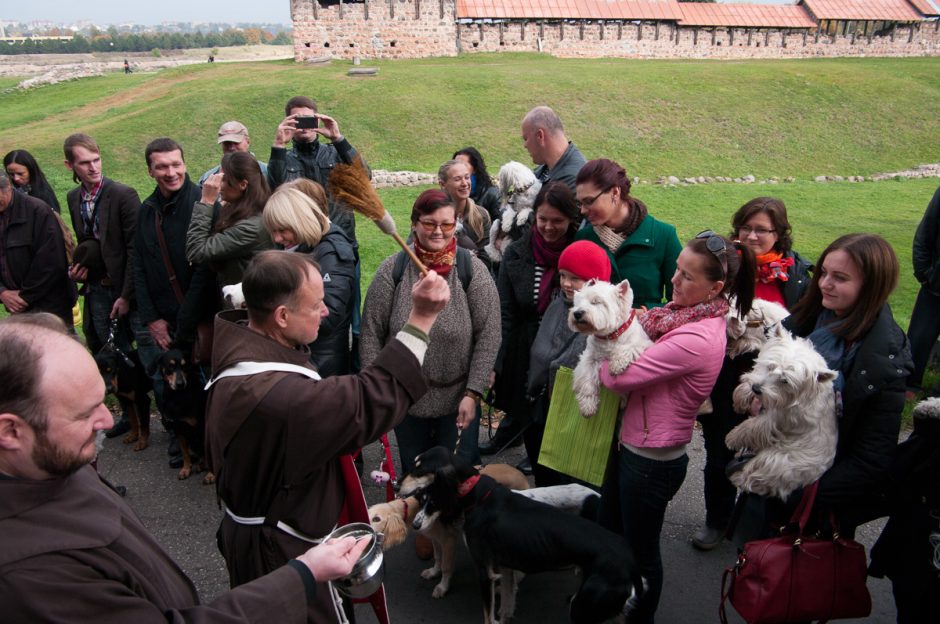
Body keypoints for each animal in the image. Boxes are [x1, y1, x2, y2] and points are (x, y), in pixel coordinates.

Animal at [151, 348, 214, 486]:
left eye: (185, 366)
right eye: (170, 366)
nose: (180, 384)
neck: (177, 397)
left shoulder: (202, 427)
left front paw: (211, 475)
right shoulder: (178, 428)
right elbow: (185, 453)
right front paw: (185, 470)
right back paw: (200, 465)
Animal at [408, 448, 644, 624]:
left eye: (421, 470)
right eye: (421, 497)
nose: (416, 525)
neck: (479, 494)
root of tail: (631, 562)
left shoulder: (485, 570)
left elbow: (488, 615)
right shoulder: (504, 566)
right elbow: (506, 605)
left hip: (584, 609)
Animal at [564, 280, 652, 416]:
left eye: (596, 301)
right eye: (577, 303)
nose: (577, 313)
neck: (608, 337)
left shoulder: (643, 343)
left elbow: (628, 348)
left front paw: (616, 365)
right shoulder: (589, 358)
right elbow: (586, 379)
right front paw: (588, 406)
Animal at [724, 326, 840, 498]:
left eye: (785, 381)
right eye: (770, 366)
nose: (756, 389)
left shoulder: (778, 419)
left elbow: (752, 426)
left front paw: (732, 437)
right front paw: (741, 397)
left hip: (784, 462)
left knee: (758, 475)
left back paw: (738, 475)